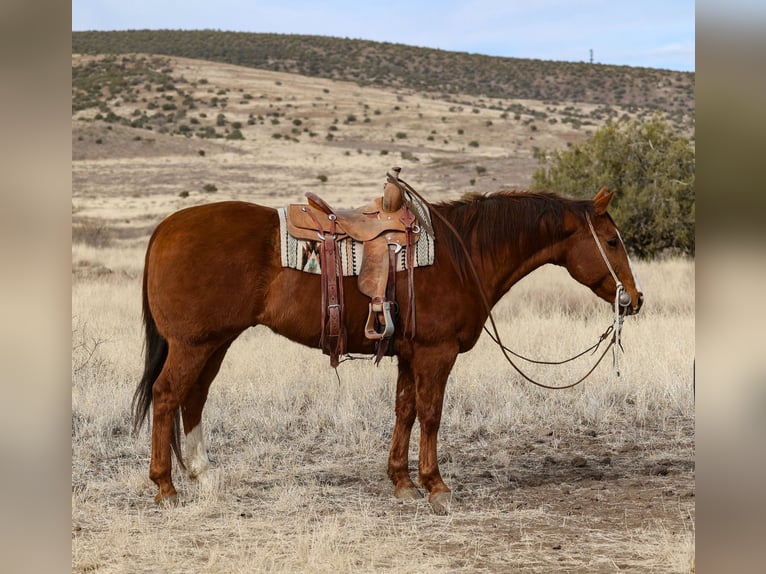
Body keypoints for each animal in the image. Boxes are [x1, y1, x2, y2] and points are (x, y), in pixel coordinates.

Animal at [132, 186, 640, 516]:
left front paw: (402, 482)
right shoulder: (436, 354)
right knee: (167, 396)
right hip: (192, 345)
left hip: (214, 343)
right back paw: (165, 487)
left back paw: (202, 475)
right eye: (612, 241)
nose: (633, 299)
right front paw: (436, 487)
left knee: (193, 399)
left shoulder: (410, 355)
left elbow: (405, 411)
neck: (464, 255)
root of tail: (164, 228)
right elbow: (431, 415)